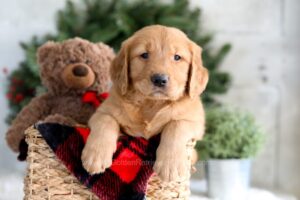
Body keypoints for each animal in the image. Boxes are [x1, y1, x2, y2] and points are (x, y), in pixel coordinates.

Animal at [82, 25, 209, 181]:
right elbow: (106, 121)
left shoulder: (196, 122)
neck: (152, 103)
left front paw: (170, 165)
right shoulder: (102, 111)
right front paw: (95, 156)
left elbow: (176, 125)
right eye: (144, 55)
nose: (159, 79)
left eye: (177, 57)